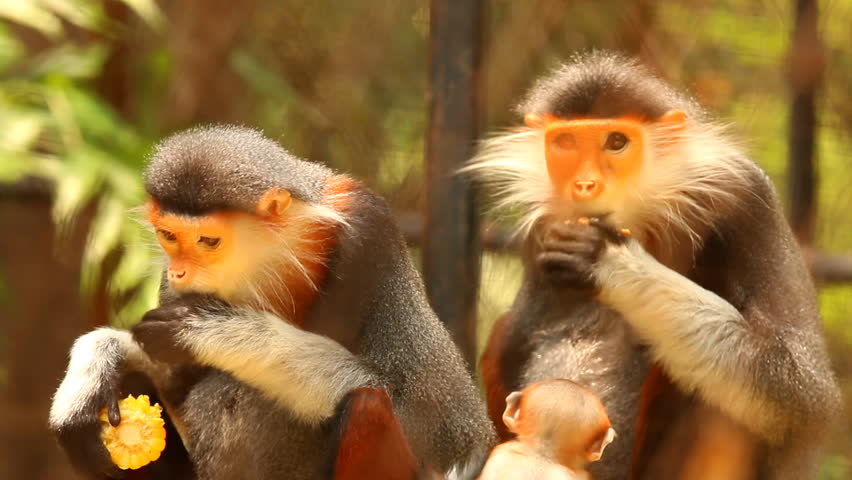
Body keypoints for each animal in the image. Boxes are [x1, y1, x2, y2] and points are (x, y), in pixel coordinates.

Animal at [48, 125, 496, 480]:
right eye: (169, 236)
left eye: (208, 241)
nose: (179, 272)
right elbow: (169, 378)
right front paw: (96, 363)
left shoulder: (368, 229)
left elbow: (420, 415)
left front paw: (215, 331)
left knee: (368, 403)